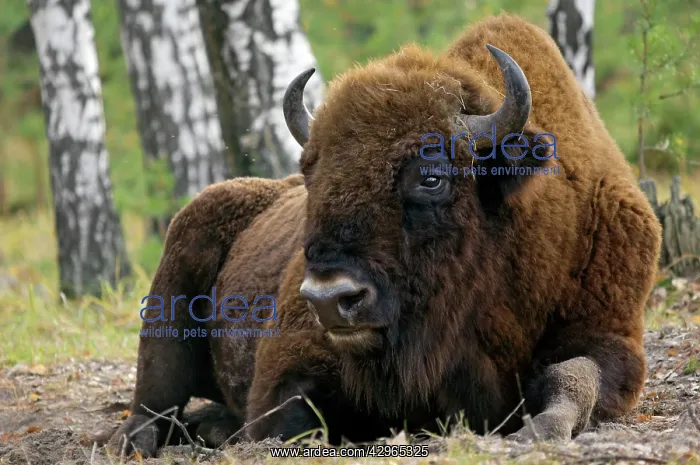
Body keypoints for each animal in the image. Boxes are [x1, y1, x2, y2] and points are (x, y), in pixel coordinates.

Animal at [108, 13, 662, 458]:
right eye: (311, 172)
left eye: (431, 176)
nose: (329, 298)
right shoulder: (289, 368)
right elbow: (288, 421)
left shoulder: (611, 338)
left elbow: (575, 379)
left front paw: (532, 433)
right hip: (166, 313)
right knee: (152, 402)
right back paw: (143, 438)